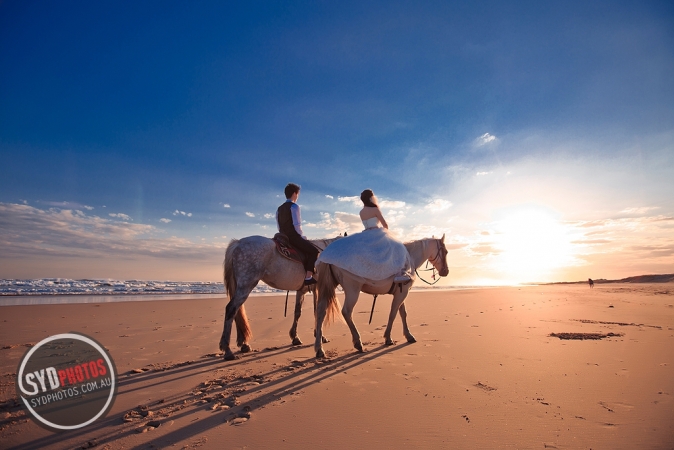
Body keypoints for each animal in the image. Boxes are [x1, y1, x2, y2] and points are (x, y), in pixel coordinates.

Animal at [314, 236, 446, 358]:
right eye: (445, 252)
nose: (446, 271)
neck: (409, 257)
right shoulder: (402, 293)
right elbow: (393, 314)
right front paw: (388, 338)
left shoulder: (401, 292)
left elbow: (402, 313)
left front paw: (408, 335)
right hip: (353, 289)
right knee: (346, 312)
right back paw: (358, 343)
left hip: (328, 286)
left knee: (320, 311)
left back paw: (319, 348)